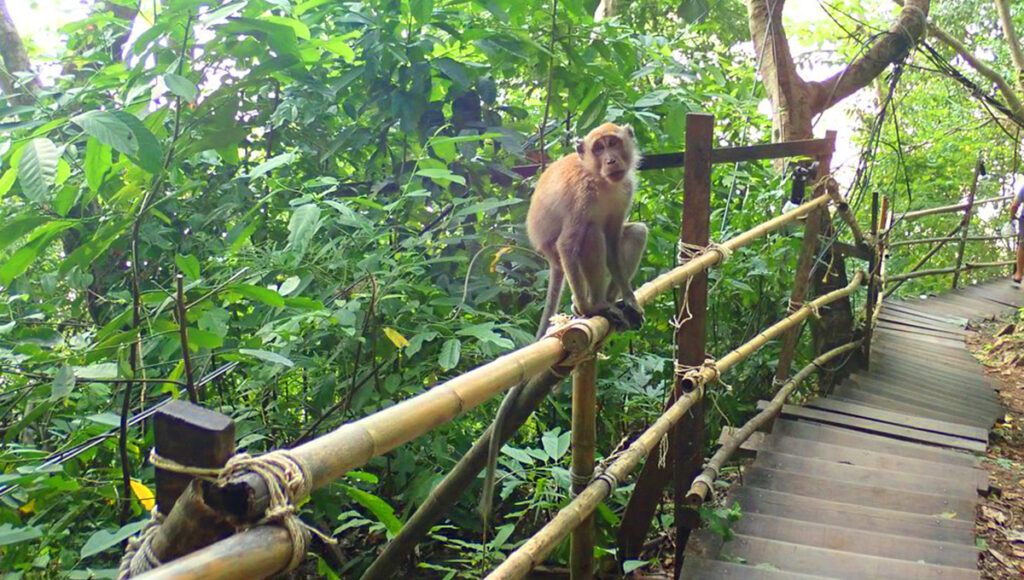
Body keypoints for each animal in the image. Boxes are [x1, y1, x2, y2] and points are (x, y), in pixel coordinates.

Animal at [479, 122, 648, 530]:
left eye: (613, 143)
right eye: (599, 148)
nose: (611, 160)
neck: (600, 180)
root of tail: (546, 258)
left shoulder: (624, 188)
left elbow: (616, 238)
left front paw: (630, 299)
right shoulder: (583, 192)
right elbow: (575, 240)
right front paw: (590, 307)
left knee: (629, 233)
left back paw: (613, 304)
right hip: (557, 253)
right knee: (586, 237)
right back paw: (591, 307)